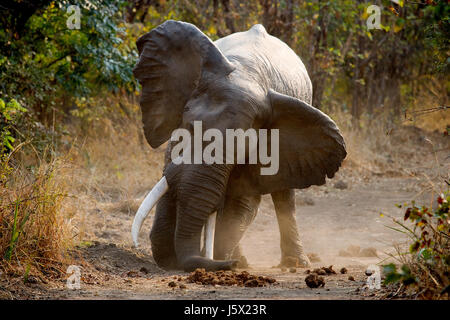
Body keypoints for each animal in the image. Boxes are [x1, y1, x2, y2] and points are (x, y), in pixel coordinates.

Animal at [132, 20, 346, 272]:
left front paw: (223, 259)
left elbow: (242, 202)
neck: (246, 74)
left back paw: (291, 263)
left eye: (241, 151)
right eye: (188, 126)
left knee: (283, 196)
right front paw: (171, 260)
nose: (229, 264)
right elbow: (167, 184)